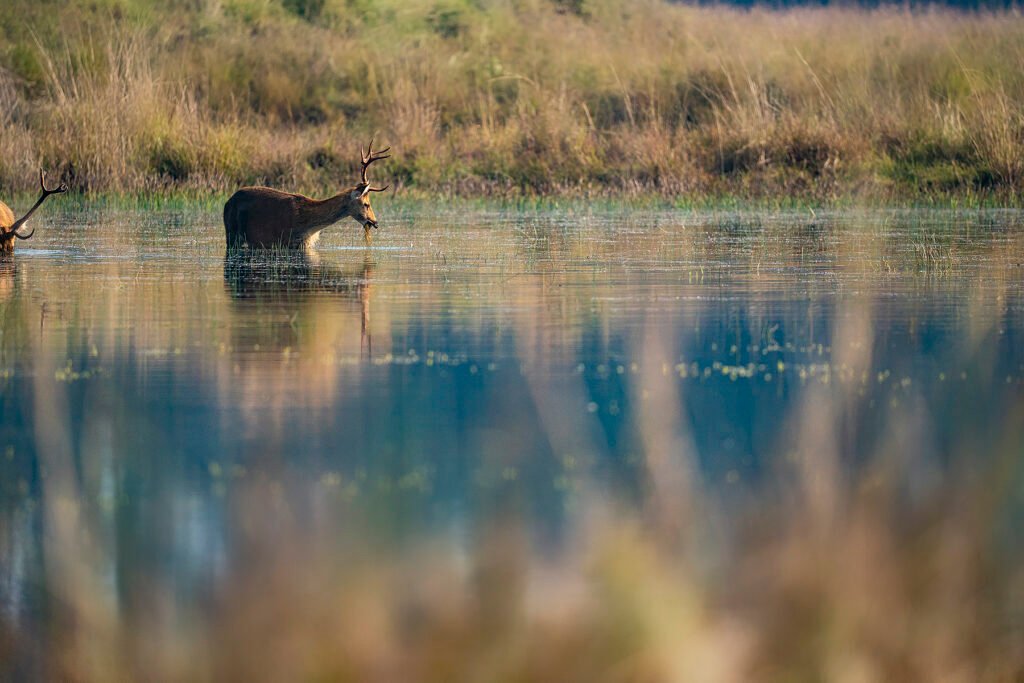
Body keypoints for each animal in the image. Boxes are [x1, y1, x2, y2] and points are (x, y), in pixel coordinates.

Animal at [224, 139, 391, 249]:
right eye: (366, 204)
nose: (375, 222)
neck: (307, 225)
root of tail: (227, 202)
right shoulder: (288, 242)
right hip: (232, 232)